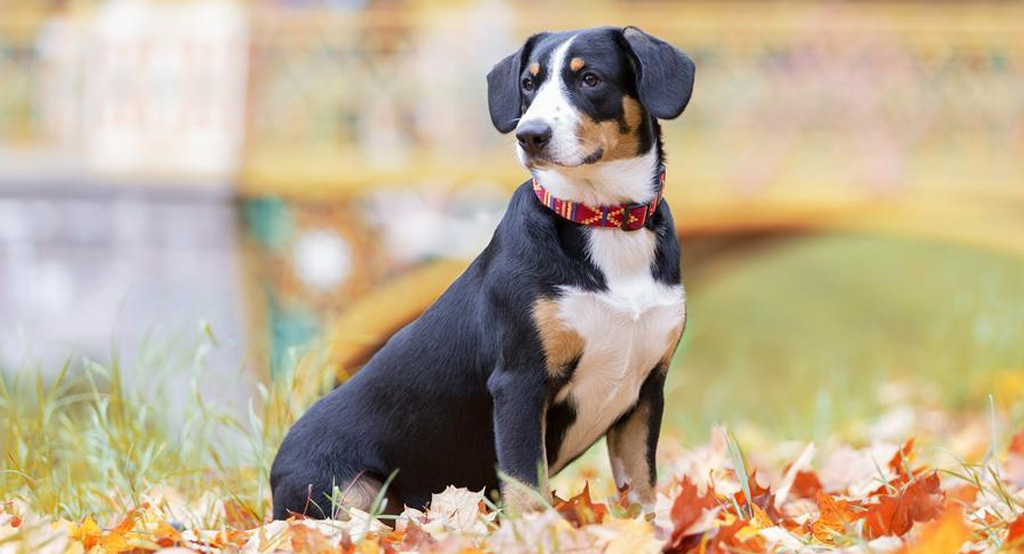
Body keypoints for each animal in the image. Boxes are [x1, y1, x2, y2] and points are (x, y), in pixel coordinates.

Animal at [270, 25, 696, 518]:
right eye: (528, 84)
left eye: (590, 78)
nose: (530, 135)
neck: (602, 220)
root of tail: (274, 473)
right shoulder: (519, 382)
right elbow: (526, 484)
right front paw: (537, 530)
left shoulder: (645, 391)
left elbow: (642, 487)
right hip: (352, 488)